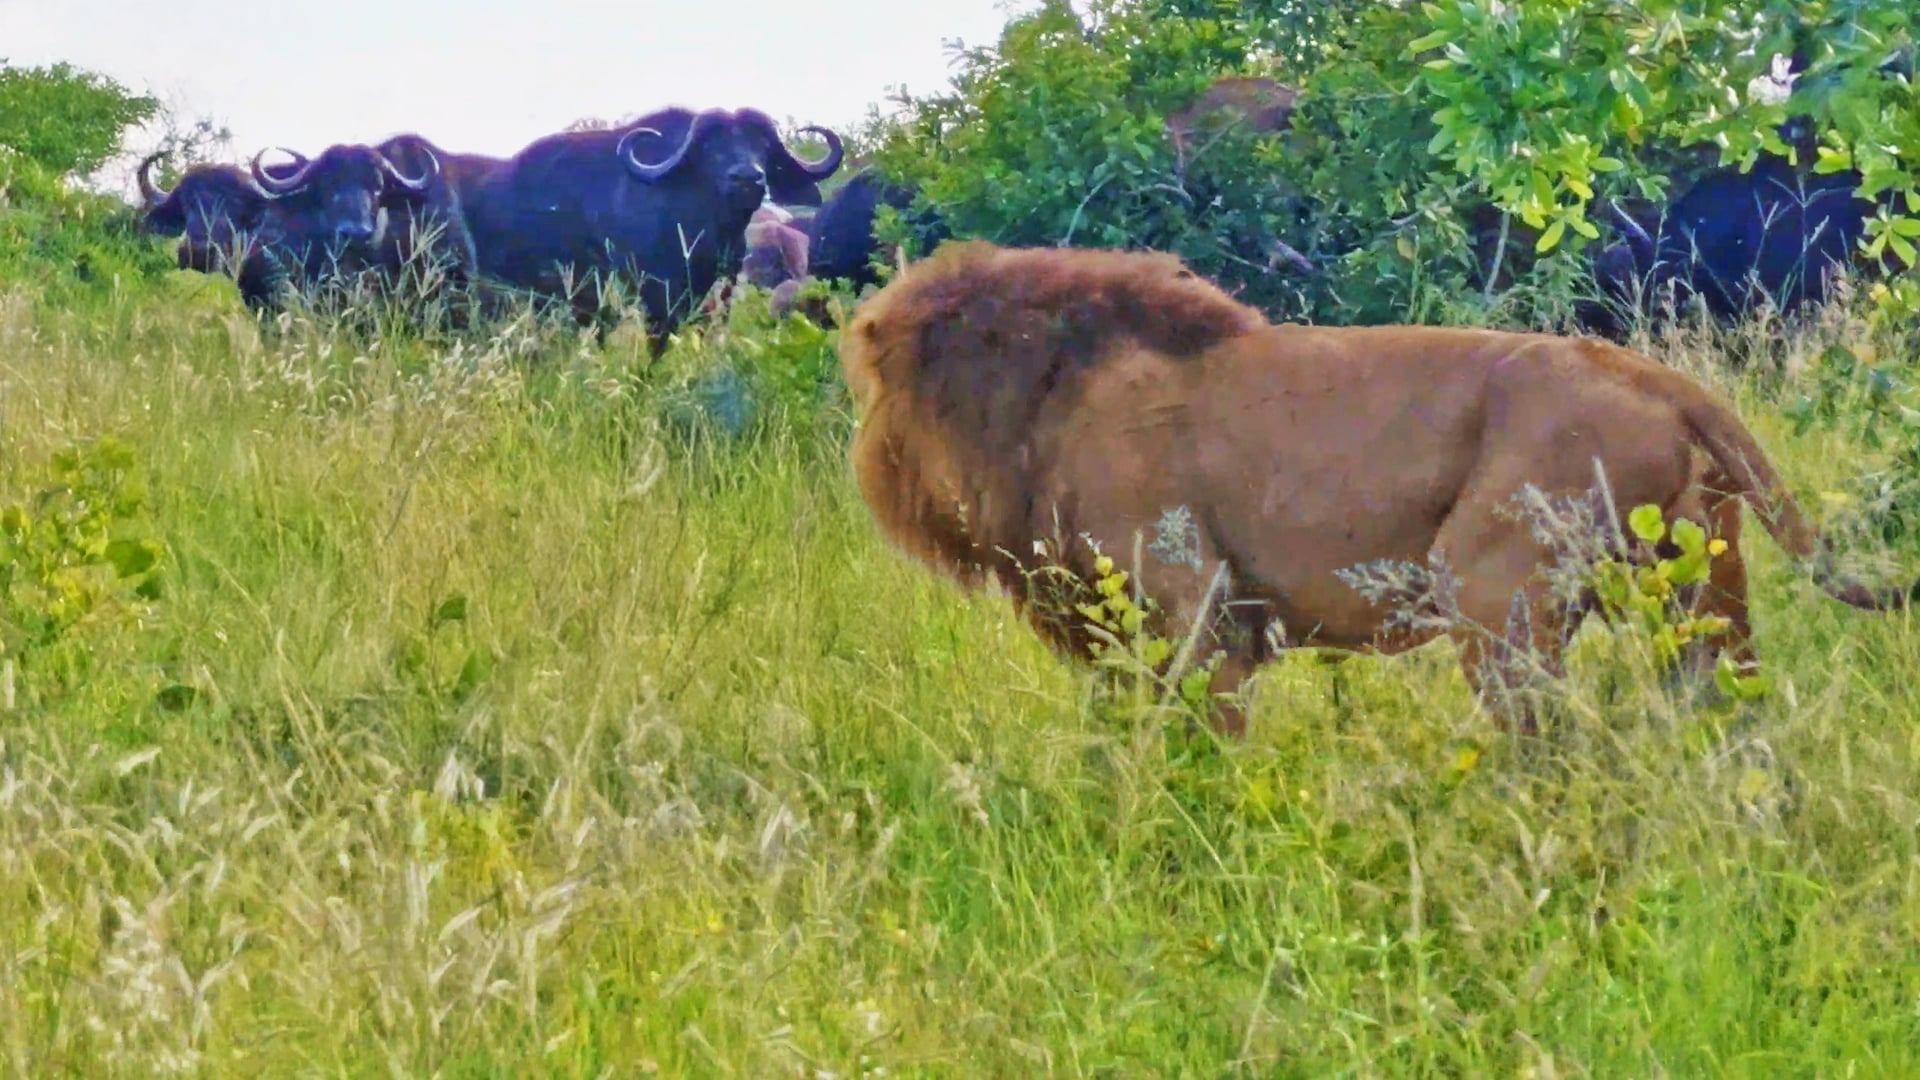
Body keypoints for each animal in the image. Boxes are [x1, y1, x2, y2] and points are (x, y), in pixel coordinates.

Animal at [839, 240, 1915, 736]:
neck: (1041, 403)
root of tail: (1656, 375)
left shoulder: (1200, 620)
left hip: (1493, 598)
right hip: (1701, 594)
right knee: (1738, 724)